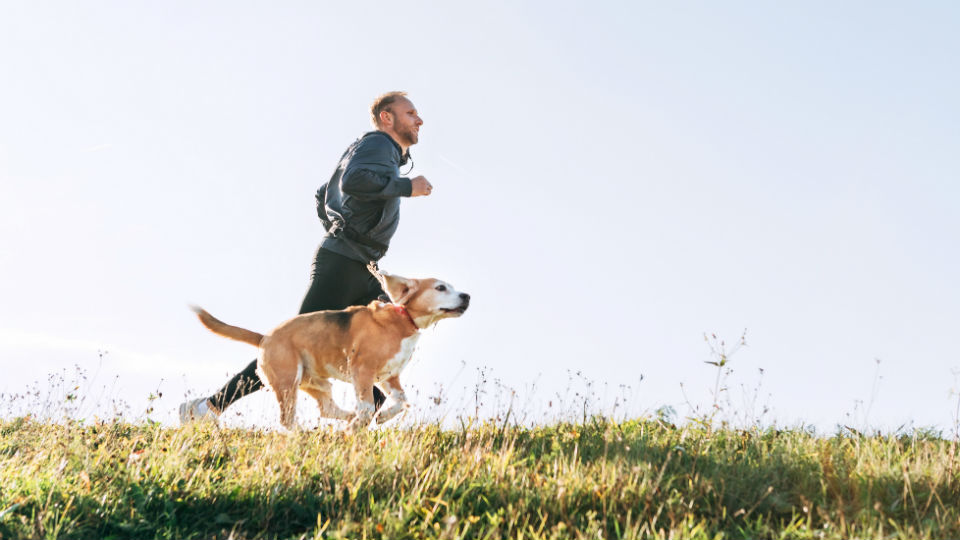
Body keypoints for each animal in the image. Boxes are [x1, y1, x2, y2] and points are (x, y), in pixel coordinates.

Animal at [190, 272, 468, 432]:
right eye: (441, 288)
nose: (467, 296)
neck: (403, 319)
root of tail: (265, 337)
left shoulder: (389, 377)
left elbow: (402, 401)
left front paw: (382, 417)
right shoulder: (363, 371)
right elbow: (368, 405)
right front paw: (361, 423)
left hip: (317, 383)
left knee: (326, 409)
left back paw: (346, 419)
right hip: (288, 382)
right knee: (287, 420)